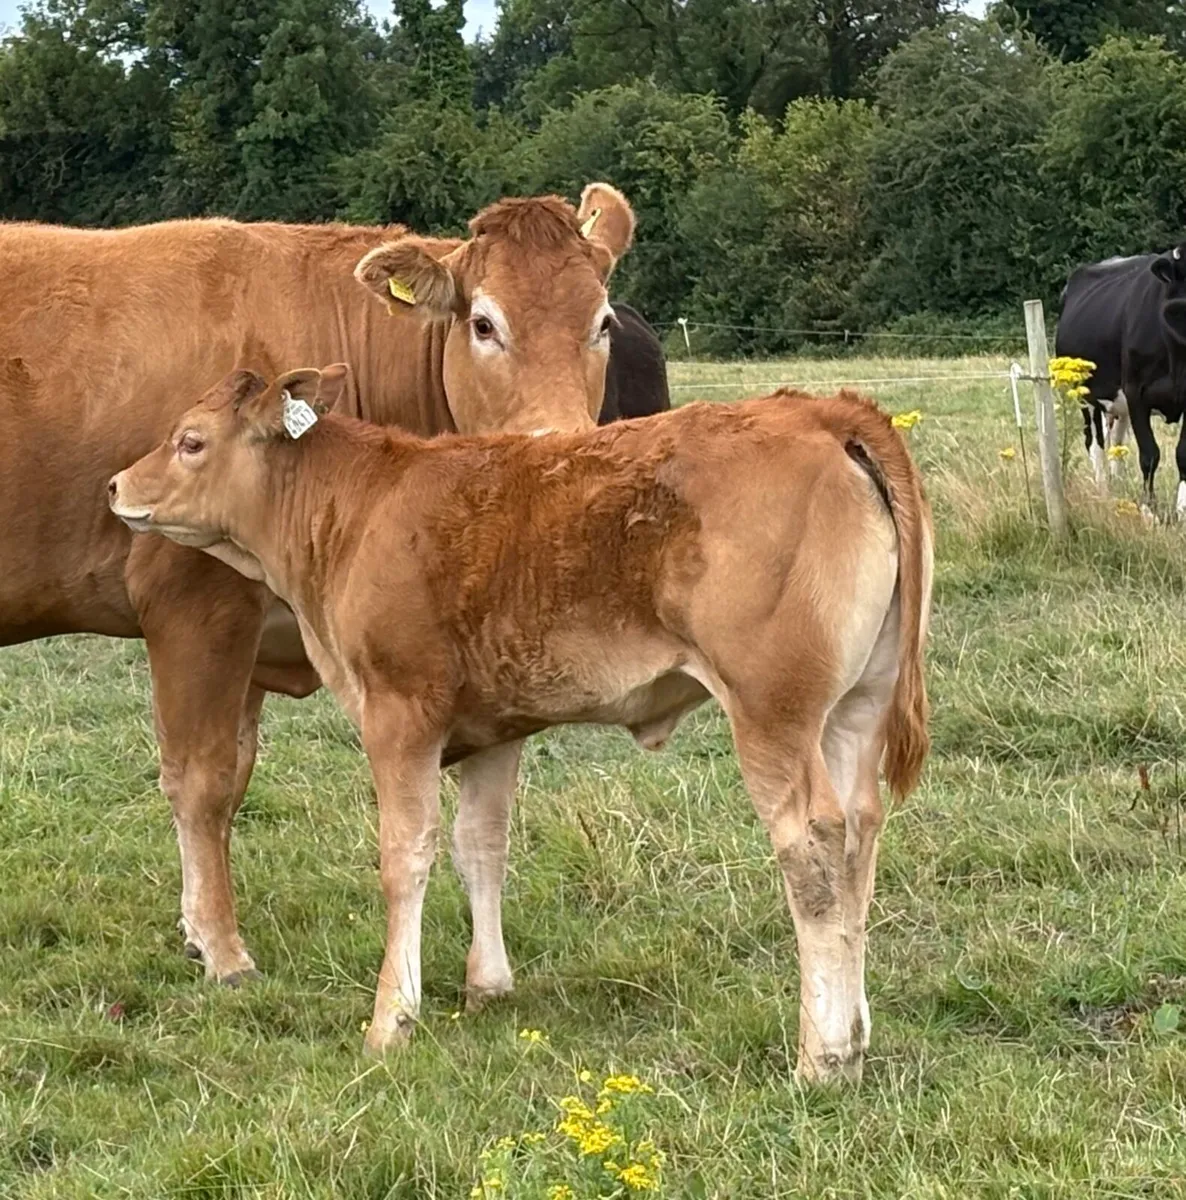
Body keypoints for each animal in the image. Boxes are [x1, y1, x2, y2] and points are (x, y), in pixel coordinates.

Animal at [0, 184, 635, 990]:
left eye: (603, 323)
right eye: (485, 323)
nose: (561, 446)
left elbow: (237, 774)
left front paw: (196, 927)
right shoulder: (196, 605)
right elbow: (202, 778)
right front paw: (223, 949)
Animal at [108, 364, 933, 1084]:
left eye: (189, 440)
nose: (115, 485)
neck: (360, 509)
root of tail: (825, 411)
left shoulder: (399, 712)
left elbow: (405, 856)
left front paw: (390, 1018)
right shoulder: (495, 725)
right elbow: (481, 846)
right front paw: (488, 985)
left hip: (772, 712)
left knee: (813, 847)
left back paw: (822, 1056)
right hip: (855, 708)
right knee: (860, 834)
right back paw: (855, 1035)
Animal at [1056, 247, 1186, 512]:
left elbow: (1184, 454)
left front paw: (1181, 510)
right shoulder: (1137, 394)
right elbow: (1149, 454)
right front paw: (1149, 510)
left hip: (1119, 405)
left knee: (1117, 444)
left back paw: (1119, 487)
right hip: (1083, 395)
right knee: (1095, 442)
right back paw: (1103, 492)